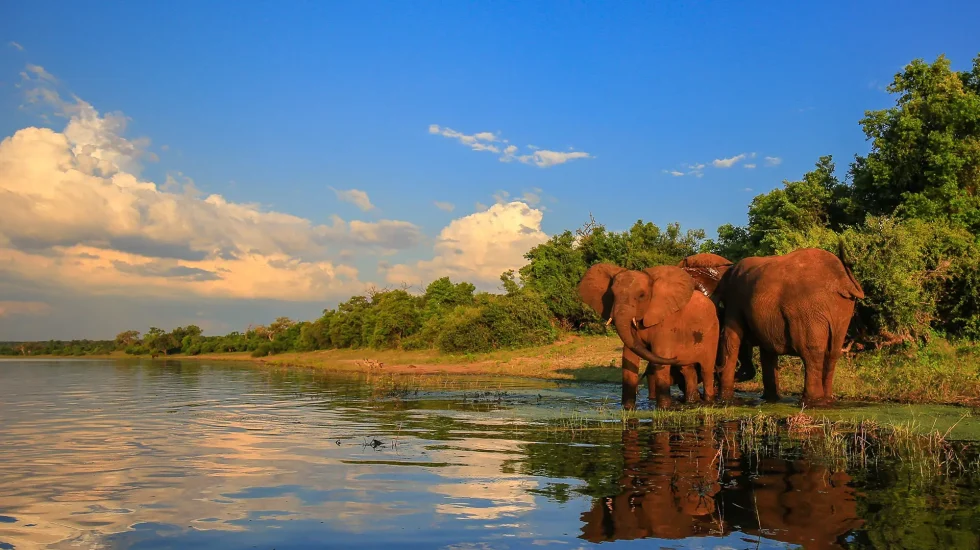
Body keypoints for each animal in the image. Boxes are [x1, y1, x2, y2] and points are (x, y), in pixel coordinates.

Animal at [577, 263, 719, 409]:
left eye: (641, 295)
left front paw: (664, 409)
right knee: (688, 369)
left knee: (706, 369)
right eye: (612, 294)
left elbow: (660, 355)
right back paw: (692, 401)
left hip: (712, 332)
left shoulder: (666, 321)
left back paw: (708, 401)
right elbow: (629, 356)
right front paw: (628, 408)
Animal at [714, 243, 864, 405]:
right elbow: (767, 350)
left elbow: (731, 339)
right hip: (842, 308)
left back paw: (810, 402)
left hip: (807, 308)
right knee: (833, 352)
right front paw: (770, 400)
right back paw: (826, 401)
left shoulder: (735, 299)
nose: (716, 372)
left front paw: (724, 400)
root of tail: (842, 280)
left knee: (811, 351)